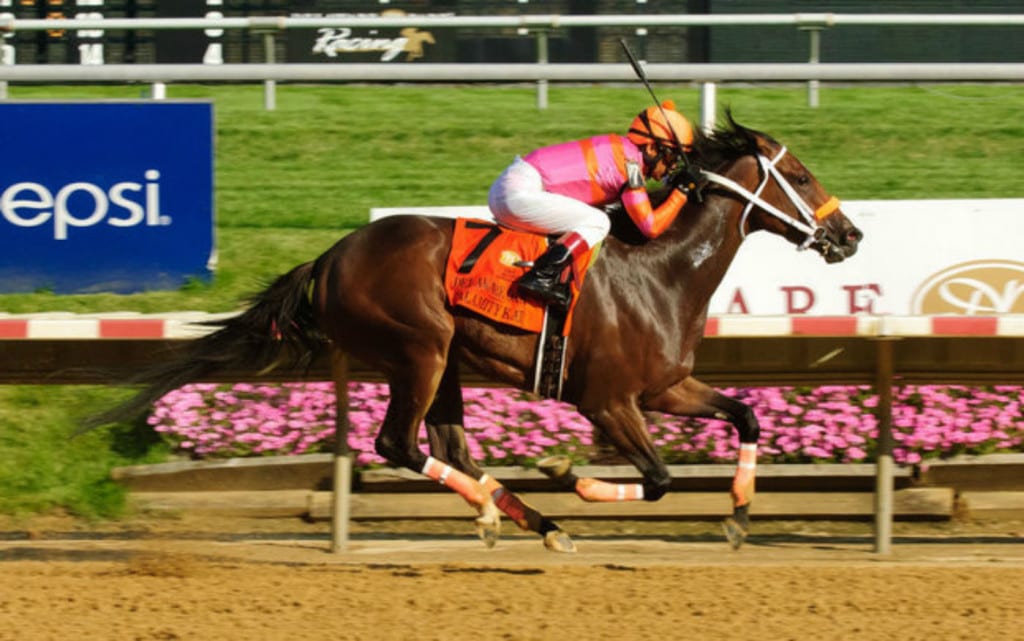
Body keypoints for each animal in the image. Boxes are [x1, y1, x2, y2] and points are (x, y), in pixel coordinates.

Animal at [101, 113, 856, 548]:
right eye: (799, 174)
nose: (850, 234)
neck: (661, 273)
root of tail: (333, 254)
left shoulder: (666, 387)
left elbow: (747, 416)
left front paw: (738, 516)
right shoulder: (608, 400)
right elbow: (661, 477)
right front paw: (575, 479)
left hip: (446, 361)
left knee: (450, 448)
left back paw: (522, 518)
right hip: (419, 348)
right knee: (399, 444)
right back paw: (523, 513)